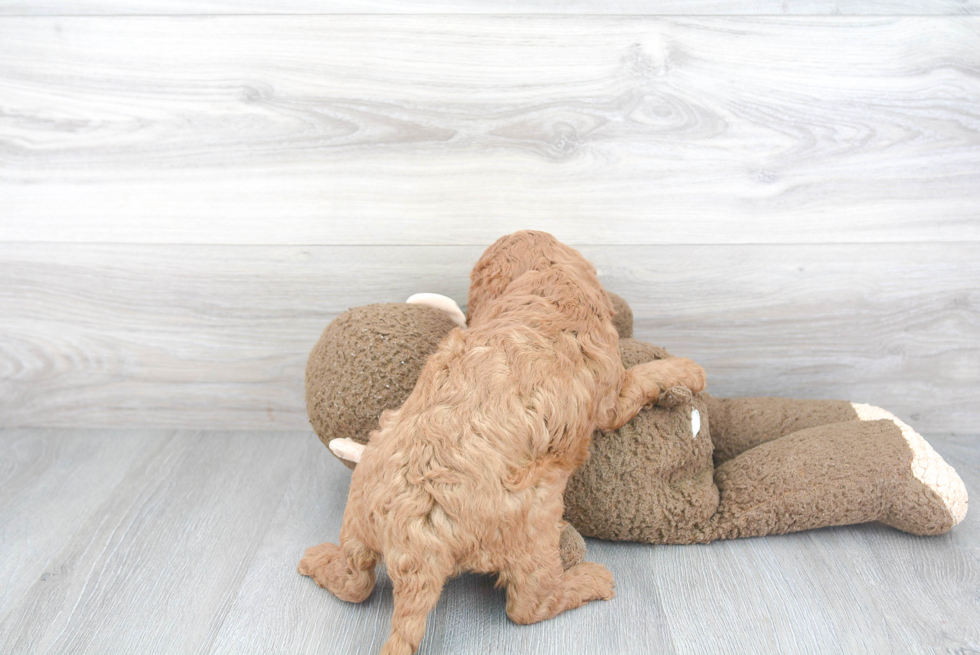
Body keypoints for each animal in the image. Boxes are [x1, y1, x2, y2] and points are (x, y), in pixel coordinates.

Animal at [298, 232, 704, 655]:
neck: (542, 283)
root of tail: (413, 543)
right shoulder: (611, 393)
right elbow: (640, 382)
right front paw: (686, 370)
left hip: (358, 512)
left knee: (355, 581)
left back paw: (316, 560)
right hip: (534, 524)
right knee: (529, 605)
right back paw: (588, 581)